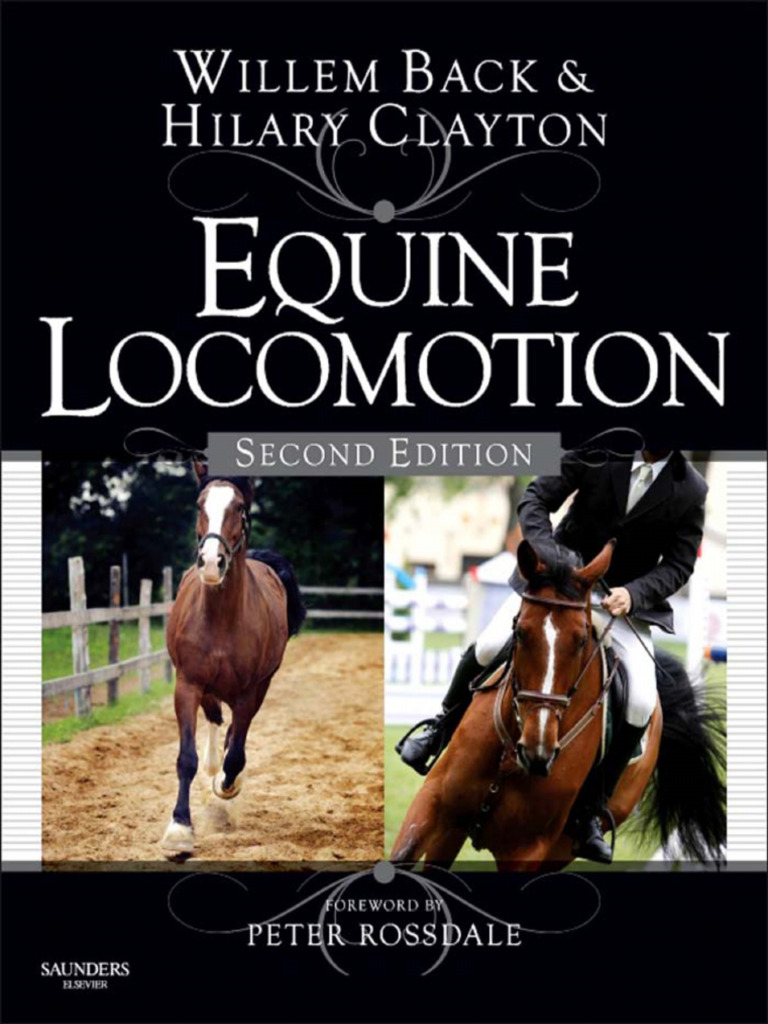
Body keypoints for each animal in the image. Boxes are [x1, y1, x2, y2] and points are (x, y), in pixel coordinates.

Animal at [160, 463, 306, 860]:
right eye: (200, 504)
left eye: (239, 507)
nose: (212, 563)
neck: (222, 618)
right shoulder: (188, 684)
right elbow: (187, 758)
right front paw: (179, 831)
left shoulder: (247, 692)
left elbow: (237, 754)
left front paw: (228, 787)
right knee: (213, 722)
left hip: (259, 688)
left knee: (233, 739)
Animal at [391, 539, 726, 871]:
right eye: (520, 632)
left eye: (581, 641)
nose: (537, 750)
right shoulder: (435, 808)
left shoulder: (527, 850)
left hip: (562, 847)